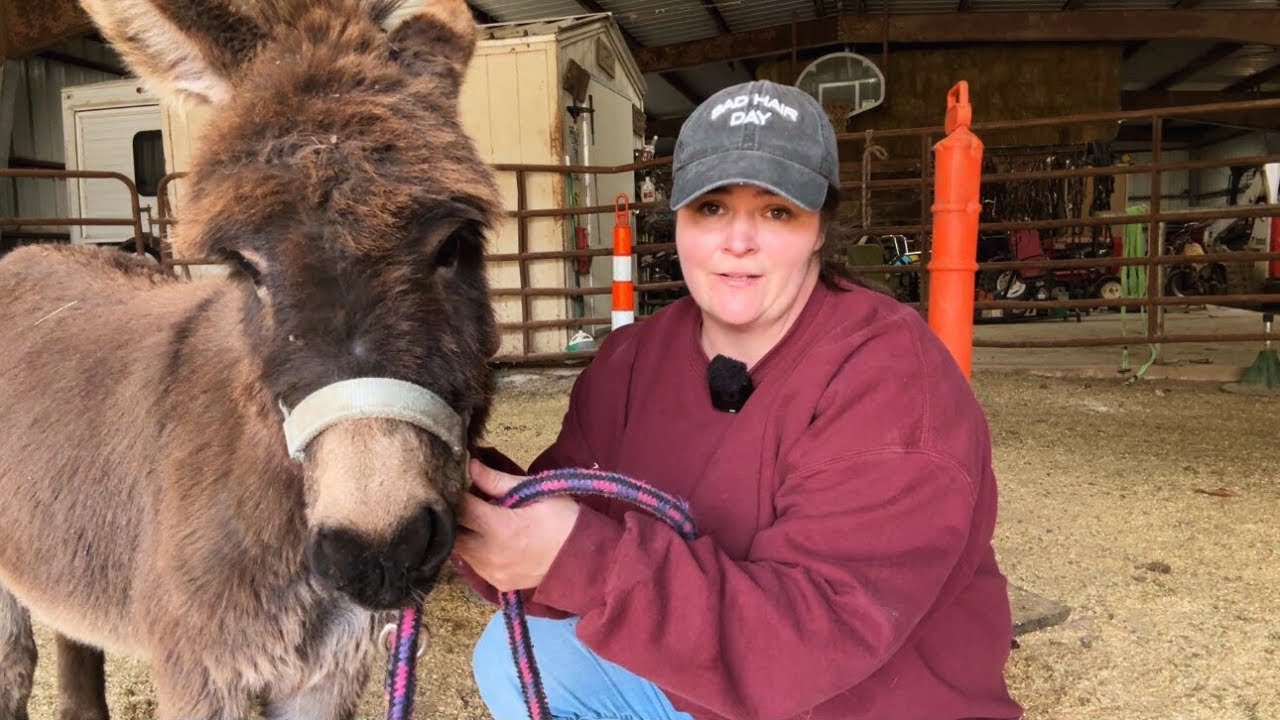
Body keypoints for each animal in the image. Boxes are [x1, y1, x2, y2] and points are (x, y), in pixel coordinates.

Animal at [0, 0, 502, 717]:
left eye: (455, 244)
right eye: (249, 269)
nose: (379, 549)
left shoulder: (329, 673)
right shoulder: (204, 672)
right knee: (15, 664)